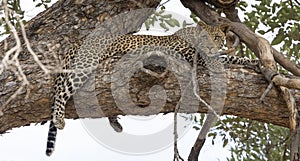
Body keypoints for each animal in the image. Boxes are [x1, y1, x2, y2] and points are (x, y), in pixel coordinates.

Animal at [45, 20, 258, 155]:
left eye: (217, 37)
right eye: (207, 38)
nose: (212, 47)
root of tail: (79, 42)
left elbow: (228, 58)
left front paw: (254, 63)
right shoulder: (188, 55)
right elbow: (220, 60)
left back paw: (115, 123)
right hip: (85, 65)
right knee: (61, 91)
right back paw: (59, 119)